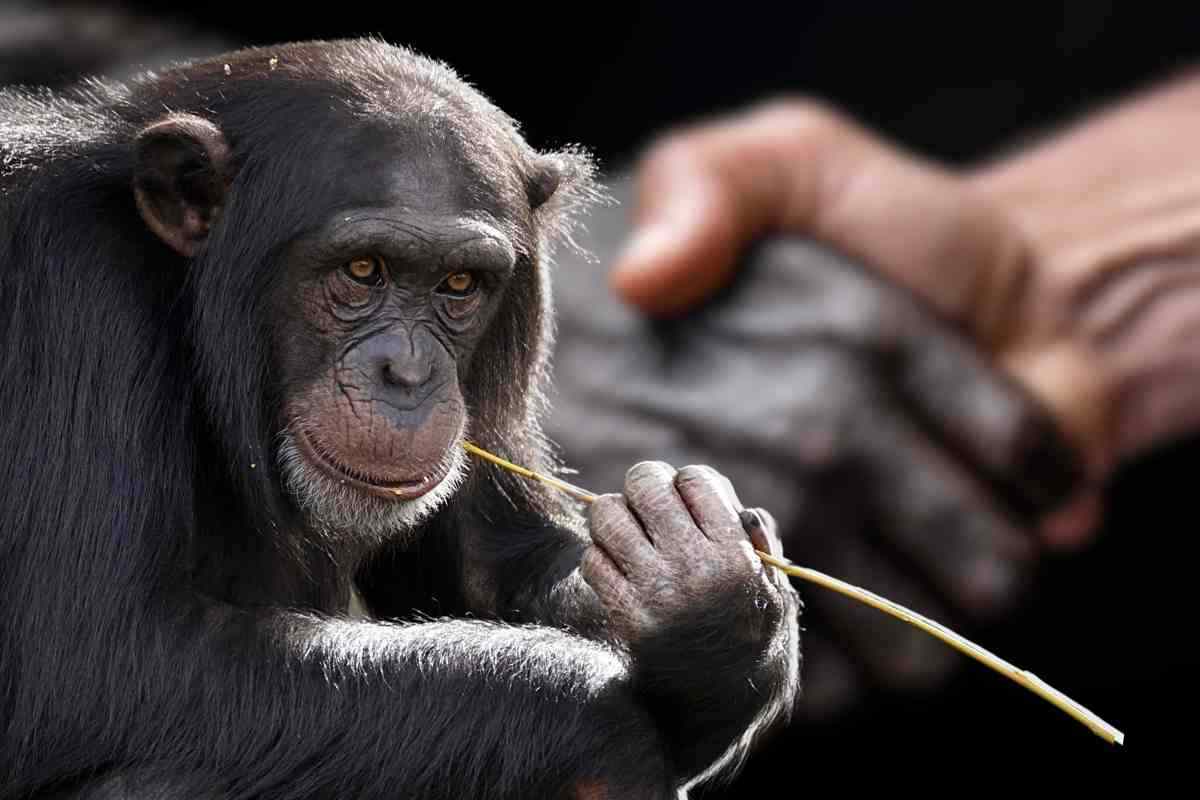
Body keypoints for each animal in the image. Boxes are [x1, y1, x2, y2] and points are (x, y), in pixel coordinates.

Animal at [2, 38, 796, 800]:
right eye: (362, 271)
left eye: (459, 284)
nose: (409, 374)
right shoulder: (70, 283)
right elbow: (93, 658)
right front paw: (606, 728)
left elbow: (497, 568)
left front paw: (707, 600)